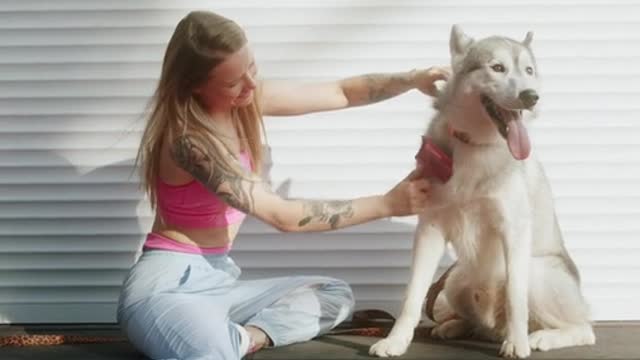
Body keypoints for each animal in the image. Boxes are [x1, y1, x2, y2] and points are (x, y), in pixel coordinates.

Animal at [370, 25, 596, 358]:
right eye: (497, 67)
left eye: (528, 71)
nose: (531, 97)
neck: (475, 146)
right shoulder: (430, 229)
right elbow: (412, 295)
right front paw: (396, 340)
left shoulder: (514, 230)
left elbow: (516, 297)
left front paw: (518, 343)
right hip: (456, 279)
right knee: (478, 323)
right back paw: (456, 326)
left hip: (536, 270)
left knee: (584, 329)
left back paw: (541, 337)